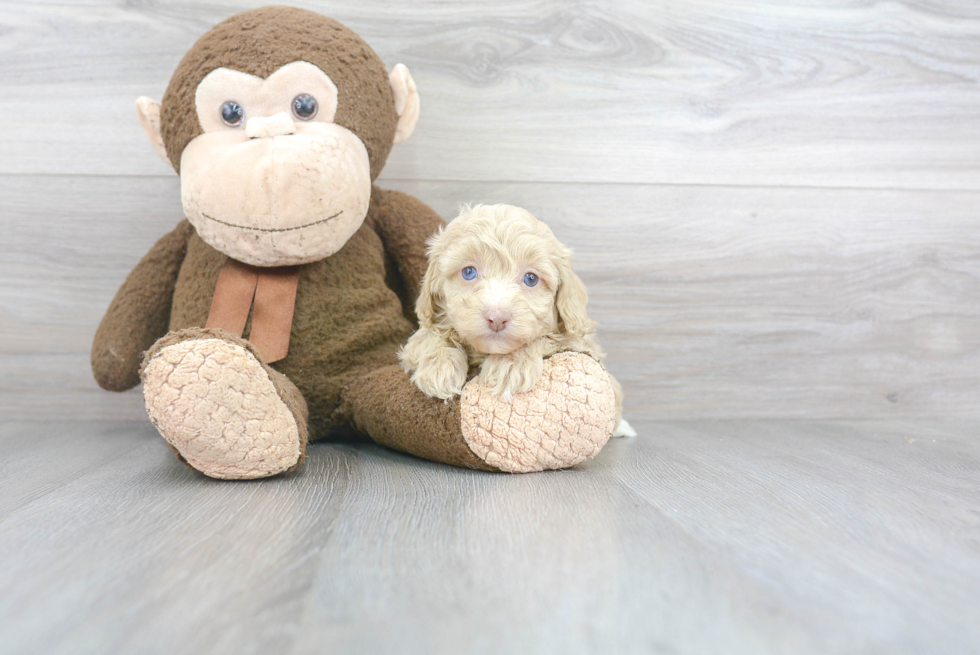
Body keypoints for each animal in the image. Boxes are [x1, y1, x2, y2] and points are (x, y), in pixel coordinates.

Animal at [398, 204, 636, 440]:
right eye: (469, 272)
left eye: (531, 278)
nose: (497, 316)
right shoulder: (418, 337)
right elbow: (429, 335)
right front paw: (440, 367)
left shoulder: (578, 342)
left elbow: (546, 339)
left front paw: (511, 363)